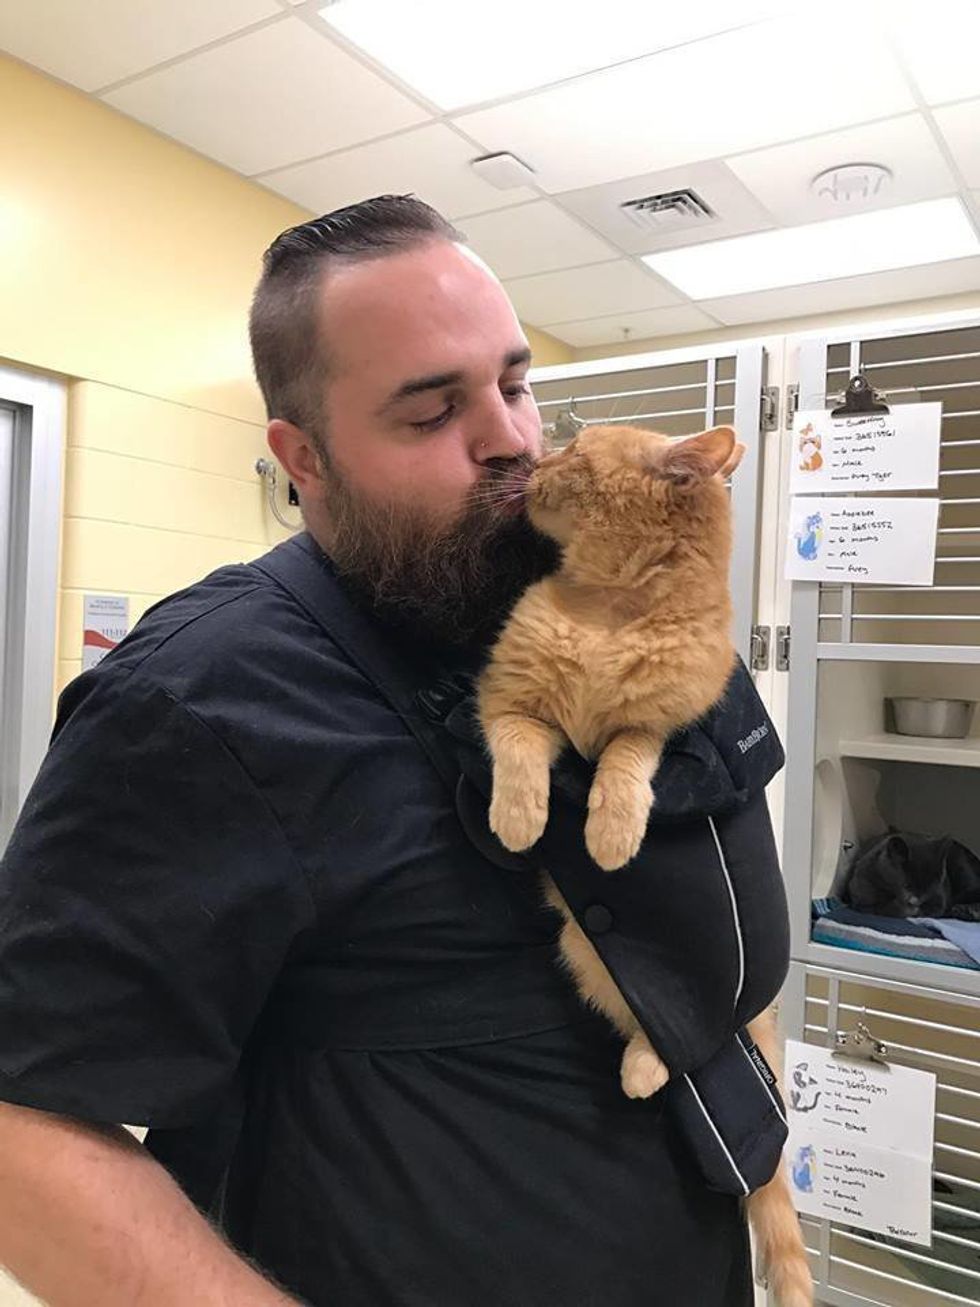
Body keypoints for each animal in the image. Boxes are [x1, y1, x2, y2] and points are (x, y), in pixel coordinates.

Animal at [478, 423, 815, 1307]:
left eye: (577, 454)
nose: (535, 461)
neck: (607, 610)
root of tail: (757, 1023)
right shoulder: (511, 704)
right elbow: (520, 749)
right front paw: (519, 816)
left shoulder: (663, 724)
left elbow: (628, 752)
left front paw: (610, 829)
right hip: (585, 954)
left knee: (676, 1035)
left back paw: (644, 1068)